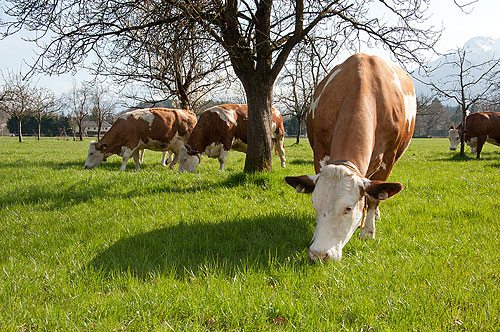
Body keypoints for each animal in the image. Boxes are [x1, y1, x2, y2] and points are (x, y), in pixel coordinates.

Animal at [284, 53, 416, 262]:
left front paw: (368, 232)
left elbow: (373, 198)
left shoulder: (388, 158)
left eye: (348, 208)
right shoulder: (320, 154)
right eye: (314, 204)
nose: (319, 254)